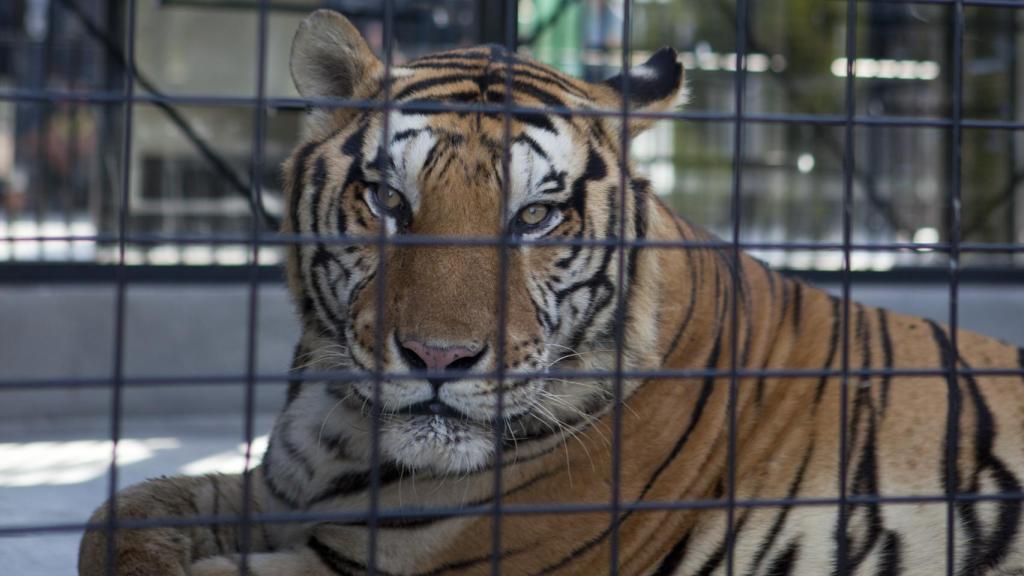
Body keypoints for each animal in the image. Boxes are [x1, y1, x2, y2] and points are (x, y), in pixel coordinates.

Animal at [79, 9, 1024, 576]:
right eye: (389, 201)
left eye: (534, 216)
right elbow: (123, 511)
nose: (438, 358)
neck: (335, 426)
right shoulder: (276, 498)